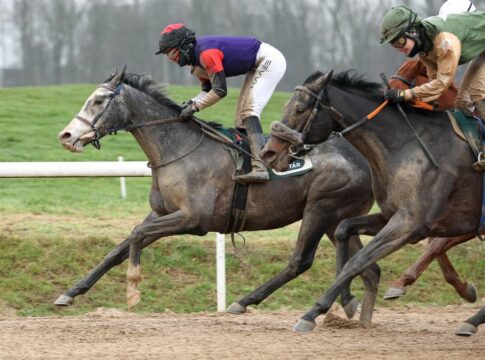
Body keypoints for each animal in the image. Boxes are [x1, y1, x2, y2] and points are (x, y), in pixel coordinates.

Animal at [56, 69, 380, 320]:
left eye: (98, 100)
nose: (66, 136)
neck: (178, 149)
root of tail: (365, 157)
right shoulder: (162, 214)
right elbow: (118, 249)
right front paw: (70, 293)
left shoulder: (194, 219)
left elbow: (136, 234)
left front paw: (134, 288)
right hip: (335, 217)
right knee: (369, 267)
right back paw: (358, 316)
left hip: (321, 207)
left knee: (300, 261)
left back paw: (245, 302)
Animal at [262, 69, 482, 334]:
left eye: (299, 108)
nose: (269, 153)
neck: (404, 145)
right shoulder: (390, 215)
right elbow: (343, 229)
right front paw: (346, 301)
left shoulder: (409, 224)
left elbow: (358, 259)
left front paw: (313, 313)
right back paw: (470, 319)